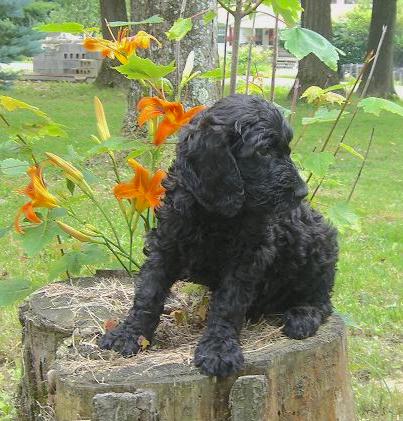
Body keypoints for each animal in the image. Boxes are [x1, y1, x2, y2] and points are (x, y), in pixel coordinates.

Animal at [100, 95, 338, 378]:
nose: (302, 193)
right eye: (264, 151)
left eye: (287, 149)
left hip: (318, 241)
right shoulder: (166, 245)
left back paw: (302, 316)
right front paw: (129, 334)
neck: (215, 214)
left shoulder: (247, 258)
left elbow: (228, 304)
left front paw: (218, 349)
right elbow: (148, 293)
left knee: (322, 298)